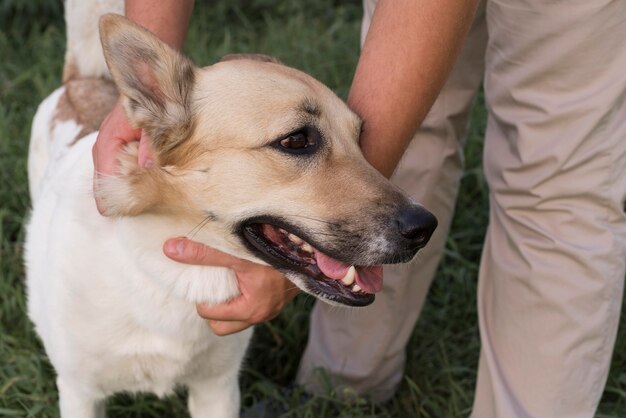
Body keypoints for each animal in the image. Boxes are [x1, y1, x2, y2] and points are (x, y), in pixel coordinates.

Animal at [23, 1, 434, 416]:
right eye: (296, 140)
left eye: (360, 138)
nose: (425, 228)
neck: (174, 275)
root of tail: (84, 82)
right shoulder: (79, 393)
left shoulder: (217, 388)